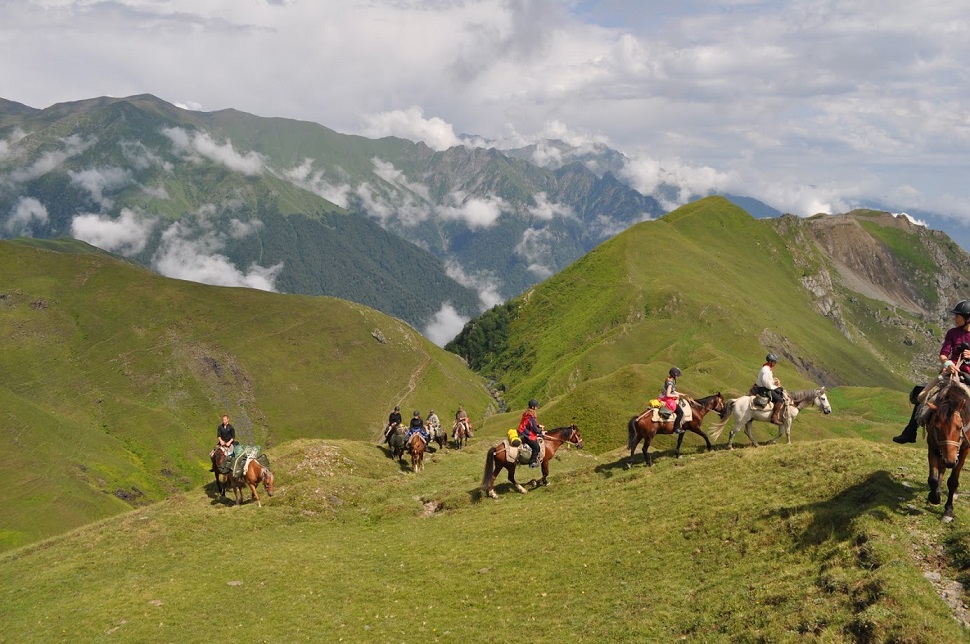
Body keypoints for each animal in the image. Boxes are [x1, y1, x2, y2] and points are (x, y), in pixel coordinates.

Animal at [704, 388, 832, 448]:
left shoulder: (781, 422)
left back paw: (756, 444)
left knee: (748, 432)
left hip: (749, 420)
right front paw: (789, 443)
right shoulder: (788, 420)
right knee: (733, 431)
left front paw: (770, 441)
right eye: (823, 398)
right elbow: (787, 432)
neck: (793, 402)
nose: (828, 411)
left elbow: (781, 433)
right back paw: (730, 447)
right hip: (741, 421)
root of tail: (736, 401)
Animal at [924, 378, 968, 520]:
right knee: (941, 469)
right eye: (937, 428)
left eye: (959, 427)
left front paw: (948, 510)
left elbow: (953, 481)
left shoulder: (964, 452)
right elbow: (932, 478)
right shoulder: (933, 447)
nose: (950, 461)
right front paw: (934, 497)